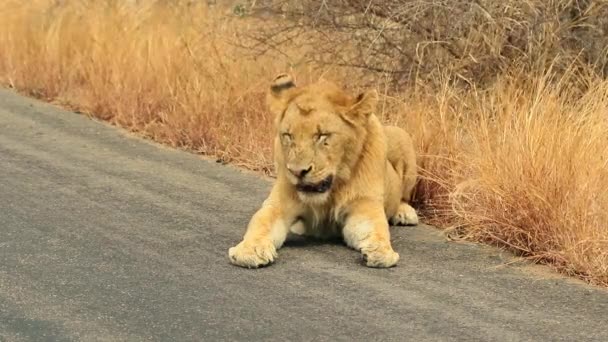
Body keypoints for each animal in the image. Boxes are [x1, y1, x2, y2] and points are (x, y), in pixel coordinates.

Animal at [228, 73, 418, 268]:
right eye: (288, 135)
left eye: (321, 136)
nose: (297, 172)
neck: (331, 190)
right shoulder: (279, 204)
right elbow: (261, 221)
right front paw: (250, 250)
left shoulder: (364, 205)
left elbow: (377, 227)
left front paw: (380, 252)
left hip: (403, 137)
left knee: (403, 197)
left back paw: (405, 213)